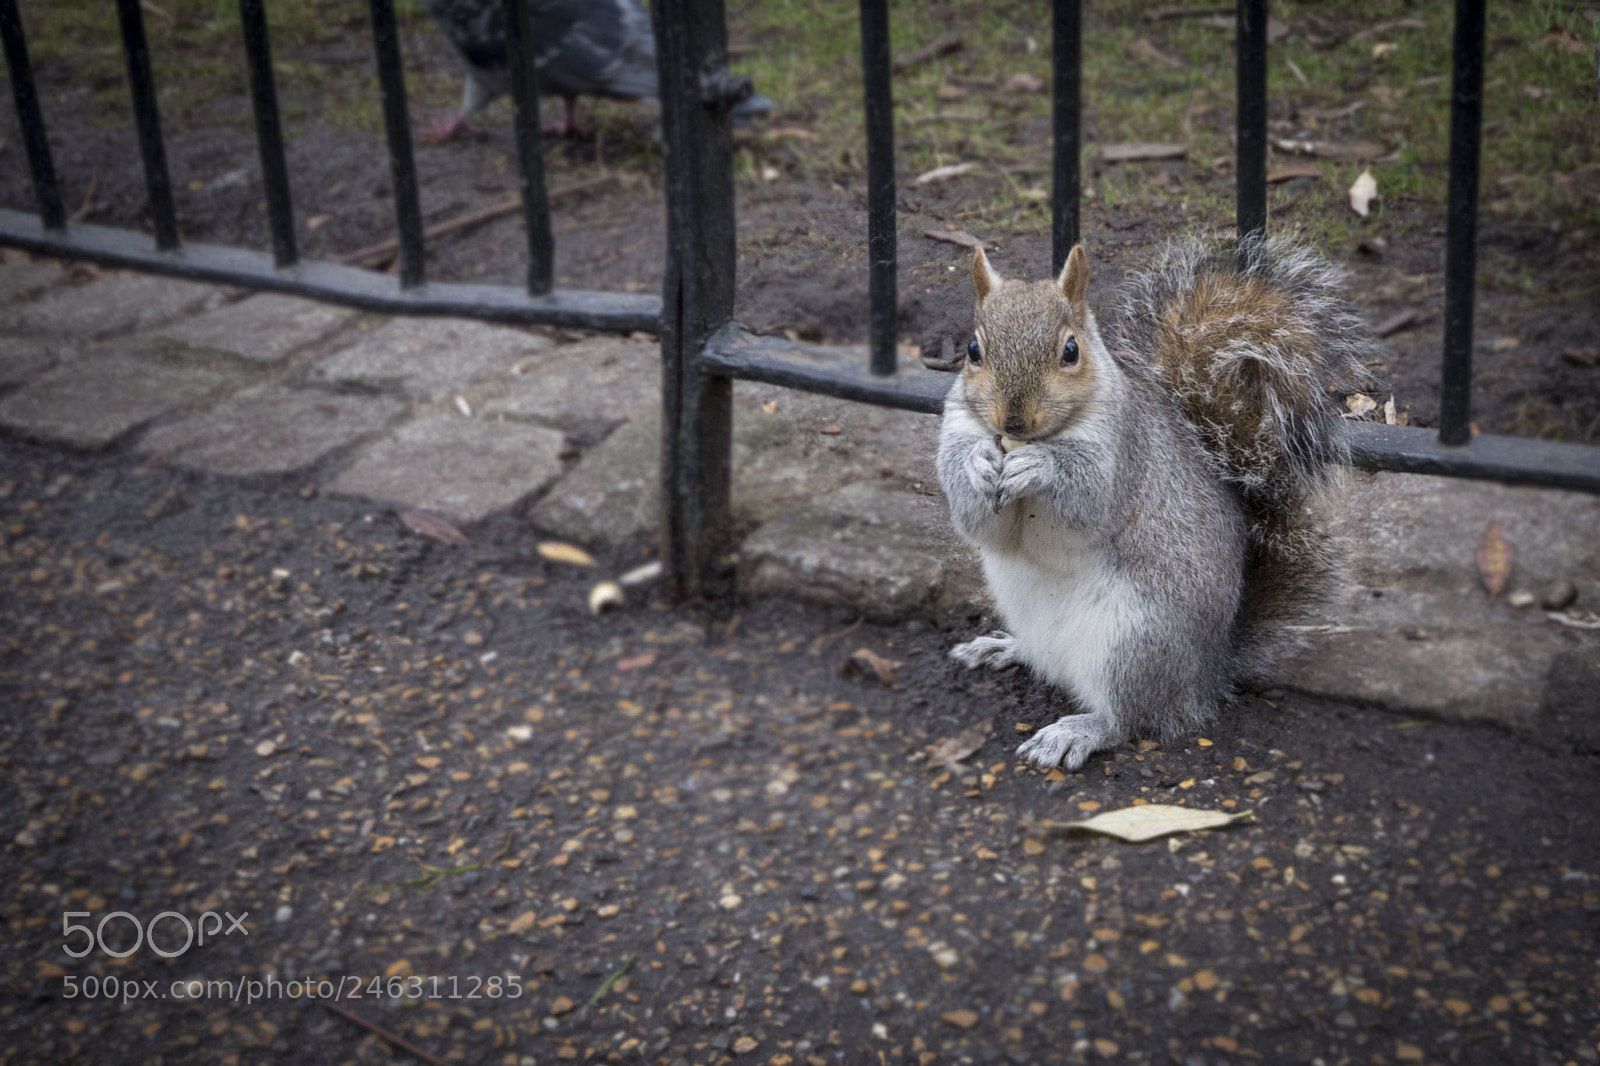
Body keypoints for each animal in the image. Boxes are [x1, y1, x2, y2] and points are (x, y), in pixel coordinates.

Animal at [936, 234, 1372, 771]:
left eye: (1070, 351)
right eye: (973, 350)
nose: (1013, 420)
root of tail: (1208, 673)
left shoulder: (1122, 455)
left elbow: (1086, 504)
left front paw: (1040, 466)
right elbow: (979, 523)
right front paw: (977, 461)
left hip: (1134, 645)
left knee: (1133, 718)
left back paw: (1078, 731)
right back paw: (1004, 648)